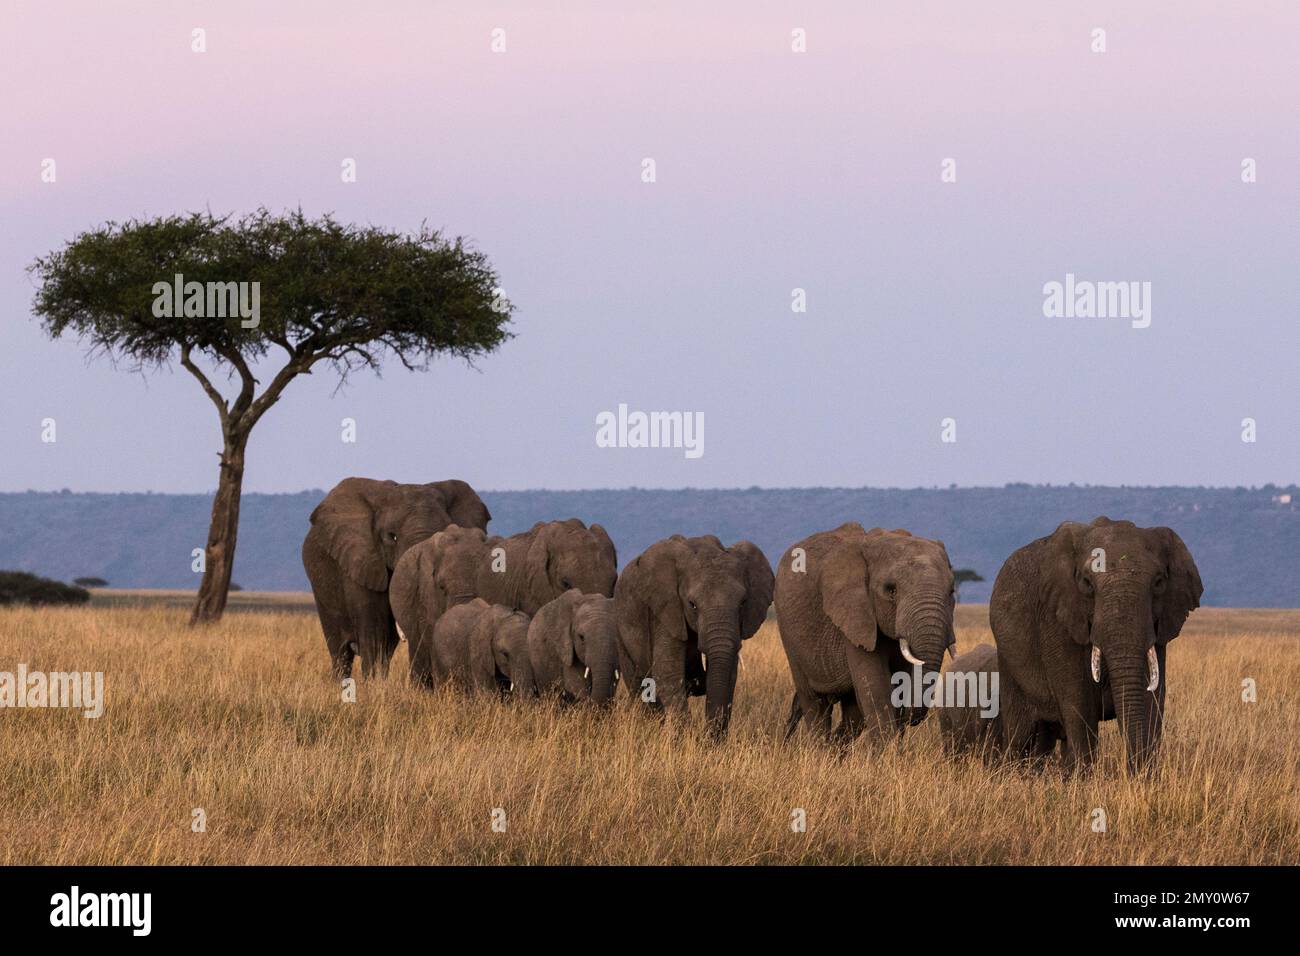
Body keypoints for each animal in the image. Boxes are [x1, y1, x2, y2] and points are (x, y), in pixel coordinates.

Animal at [611, 535, 769, 738]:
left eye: (743, 603)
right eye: (692, 604)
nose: (705, 736)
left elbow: (729, 673)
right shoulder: (666, 610)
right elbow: (668, 671)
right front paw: (686, 738)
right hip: (620, 630)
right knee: (641, 687)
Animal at [769, 522, 956, 749]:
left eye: (951, 591)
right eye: (891, 590)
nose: (910, 718)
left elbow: (896, 681)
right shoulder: (856, 615)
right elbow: (876, 687)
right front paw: (887, 755)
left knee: (853, 713)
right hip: (789, 634)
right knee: (815, 702)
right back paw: (820, 752)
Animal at [987, 520, 1201, 775]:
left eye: (1159, 582)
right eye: (1087, 583)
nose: (1131, 773)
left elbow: (1152, 696)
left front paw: (1145, 777)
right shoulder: (1055, 617)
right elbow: (1076, 696)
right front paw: (1082, 778)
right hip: (1008, 660)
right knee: (1019, 731)